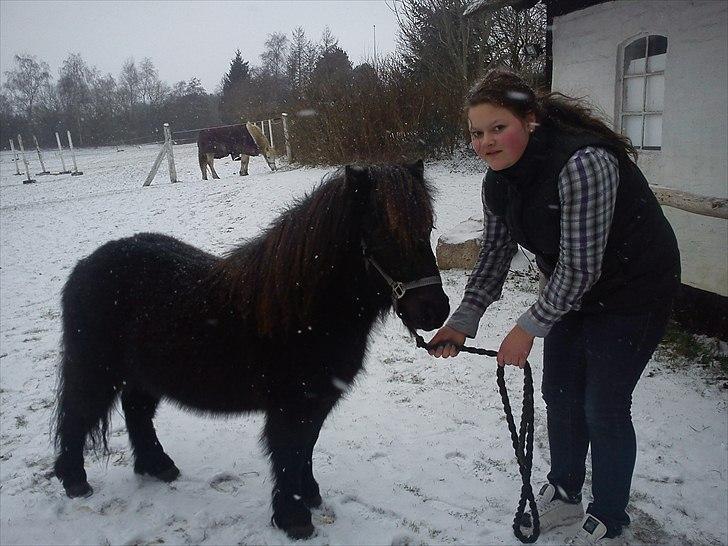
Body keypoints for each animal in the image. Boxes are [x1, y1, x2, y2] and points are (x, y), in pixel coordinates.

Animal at [52, 159, 450, 536]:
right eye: (384, 232)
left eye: (428, 229)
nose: (436, 310)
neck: (303, 310)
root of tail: (86, 265)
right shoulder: (290, 407)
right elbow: (289, 453)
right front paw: (295, 519)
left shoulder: (316, 403)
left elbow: (306, 448)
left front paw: (310, 496)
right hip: (94, 369)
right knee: (77, 413)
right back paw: (75, 481)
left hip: (144, 375)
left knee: (136, 412)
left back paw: (158, 466)